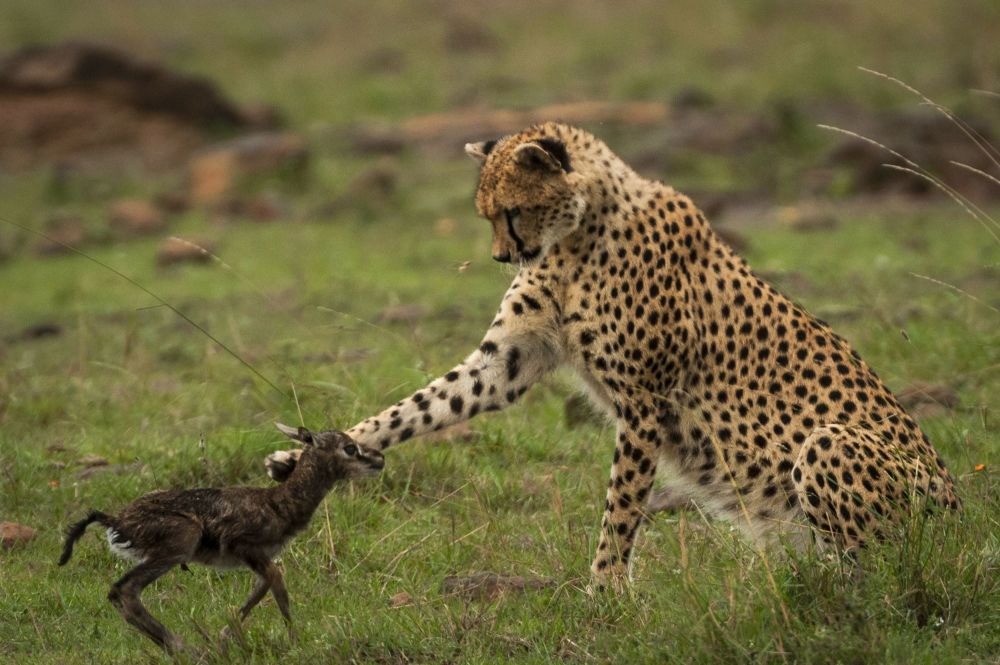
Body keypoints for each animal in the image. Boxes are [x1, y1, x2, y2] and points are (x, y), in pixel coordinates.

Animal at [266, 120, 960, 588]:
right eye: (487, 215)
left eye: (512, 211)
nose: (498, 256)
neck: (578, 234)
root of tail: (968, 518)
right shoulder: (506, 363)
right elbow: (414, 408)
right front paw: (305, 457)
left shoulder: (644, 403)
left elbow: (622, 507)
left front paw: (602, 591)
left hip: (831, 445)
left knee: (889, 566)